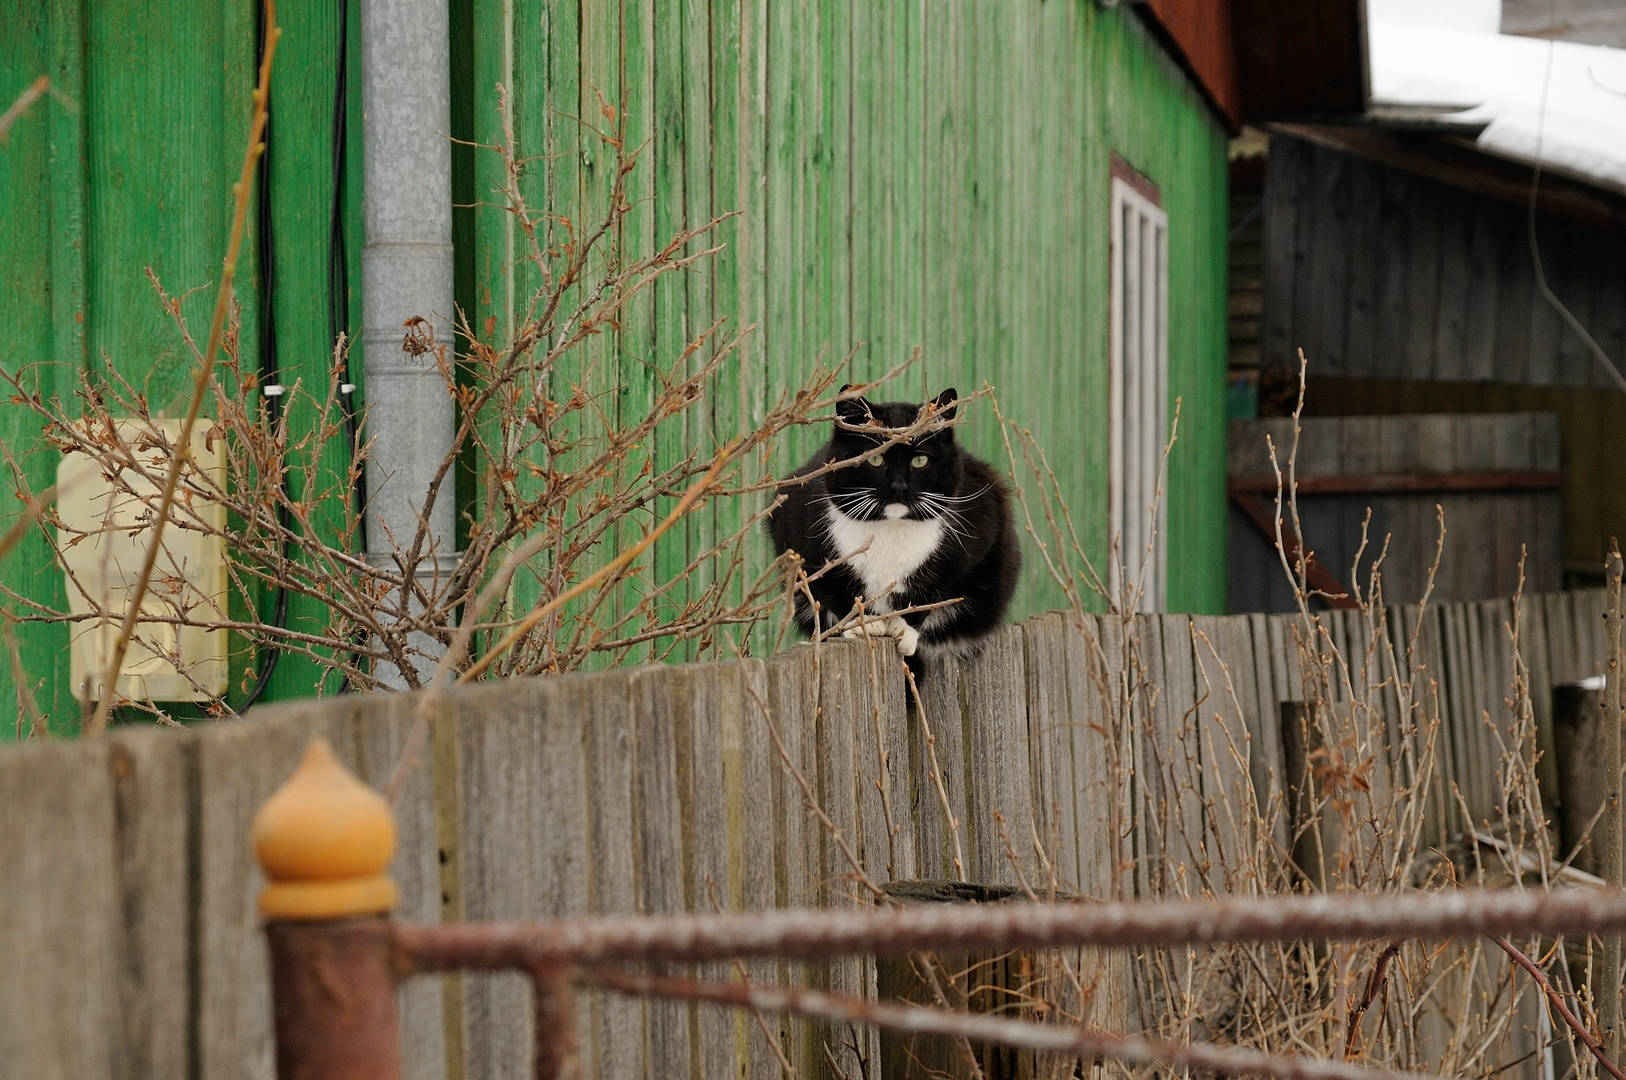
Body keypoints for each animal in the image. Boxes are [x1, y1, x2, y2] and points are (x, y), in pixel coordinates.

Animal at [770, 383, 1021, 663]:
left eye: (920, 460)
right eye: (875, 459)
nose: (899, 486)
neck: (891, 527)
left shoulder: (980, 529)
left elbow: (934, 590)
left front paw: (905, 629)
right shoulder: (794, 530)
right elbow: (832, 589)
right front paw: (862, 624)